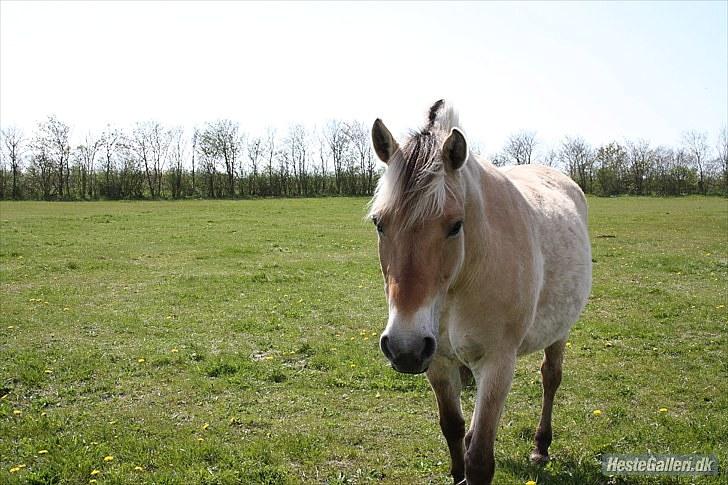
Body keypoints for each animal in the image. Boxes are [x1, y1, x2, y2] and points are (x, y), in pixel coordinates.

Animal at [370, 100, 592, 482]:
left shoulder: (498, 363)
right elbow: (452, 428)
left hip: (559, 332)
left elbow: (480, 460)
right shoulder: (437, 362)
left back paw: (541, 447)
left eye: (455, 225)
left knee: (550, 378)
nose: (404, 347)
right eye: (380, 223)